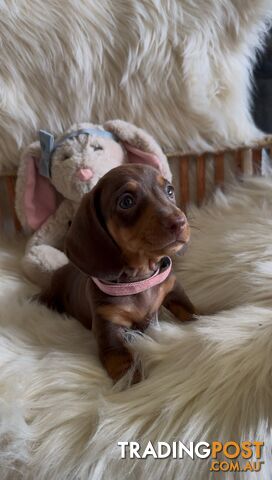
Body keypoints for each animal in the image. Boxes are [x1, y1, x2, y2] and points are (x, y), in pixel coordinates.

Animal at [38, 164, 196, 382]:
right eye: (126, 201)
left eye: (170, 190)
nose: (180, 222)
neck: (140, 278)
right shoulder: (108, 326)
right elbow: (122, 363)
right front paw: (135, 383)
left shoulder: (173, 290)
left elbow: (192, 313)